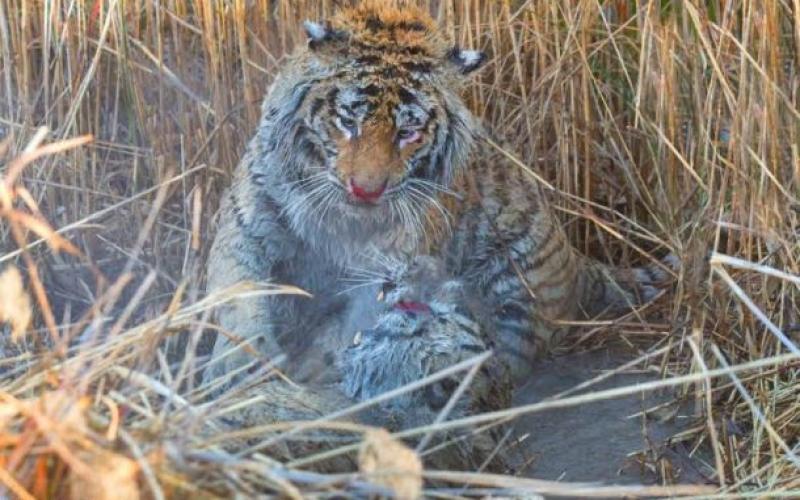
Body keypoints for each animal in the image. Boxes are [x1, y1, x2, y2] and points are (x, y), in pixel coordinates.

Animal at [203, 0, 672, 386]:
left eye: (407, 132)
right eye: (348, 120)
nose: (366, 190)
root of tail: (577, 260)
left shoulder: (388, 268)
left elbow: (351, 326)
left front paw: (312, 371)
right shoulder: (247, 226)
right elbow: (238, 294)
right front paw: (240, 366)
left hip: (514, 278)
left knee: (507, 357)